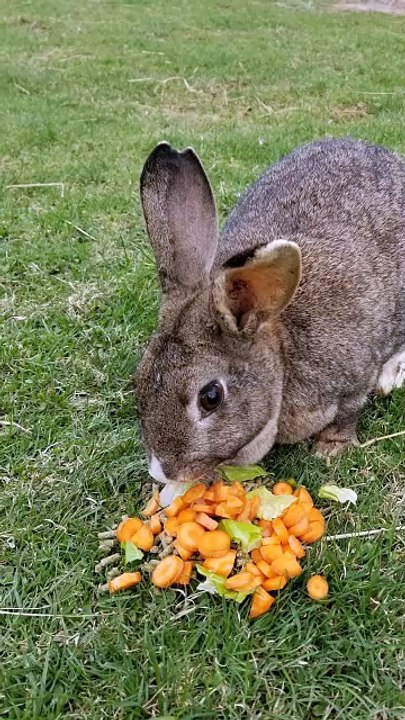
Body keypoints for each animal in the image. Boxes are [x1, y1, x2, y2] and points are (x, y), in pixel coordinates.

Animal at [135, 137, 405, 485]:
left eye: (211, 397)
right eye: (139, 379)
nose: (164, 472)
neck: (282, 351)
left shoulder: (354, 375)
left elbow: (349, 412)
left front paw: (330, 449)